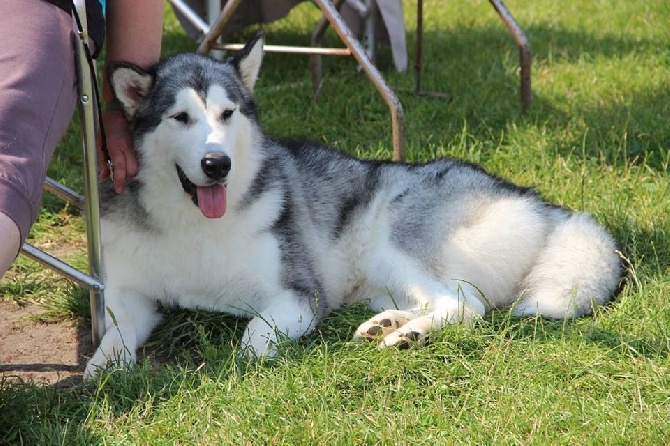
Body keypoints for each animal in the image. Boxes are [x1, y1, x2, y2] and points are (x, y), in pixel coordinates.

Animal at [84, 31, 624, 380]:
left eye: (226, 113)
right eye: (180, 117)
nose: (217, 164)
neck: (192, 223)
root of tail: (536, 201)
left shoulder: (300, 293)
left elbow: (256, 331)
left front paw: (252, 359)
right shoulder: (130, 290)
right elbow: (116, 327)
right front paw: (103, 368)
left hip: (395, 239)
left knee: (466, 304)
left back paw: (409, 335)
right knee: (440, 300)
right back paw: (392, 325)